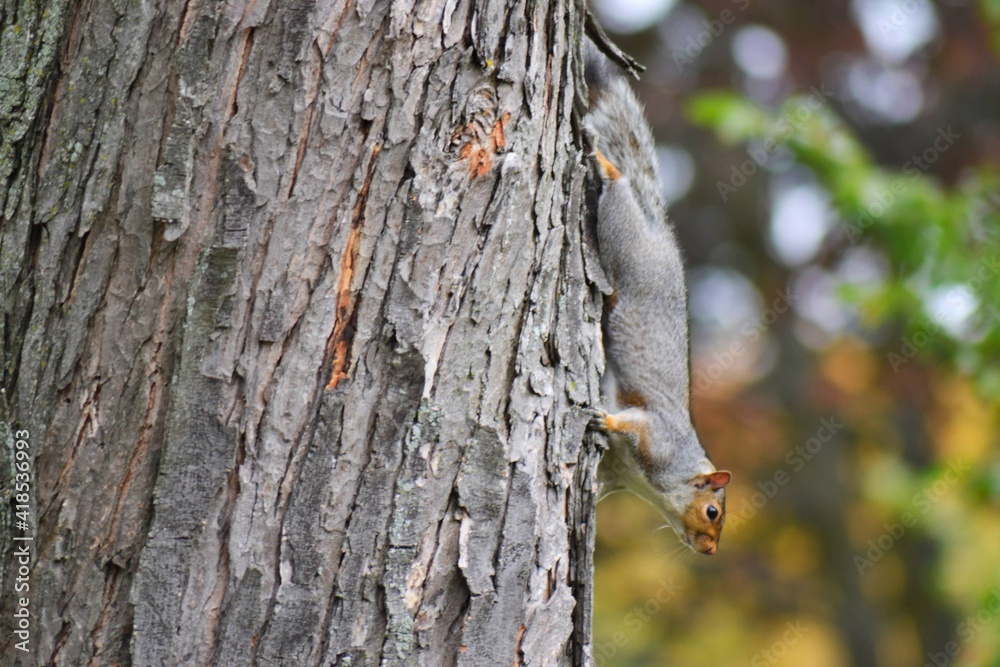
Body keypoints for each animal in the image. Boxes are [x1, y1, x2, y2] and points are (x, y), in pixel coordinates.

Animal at [583, 41, 732, 556]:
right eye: (712, 512)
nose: (709, 552)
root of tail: (660, 235)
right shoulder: (657, 436)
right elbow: (633, 422)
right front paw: (606, 420)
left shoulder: (618, 472)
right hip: (622, 240)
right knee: (619, 188)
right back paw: (604, 164)